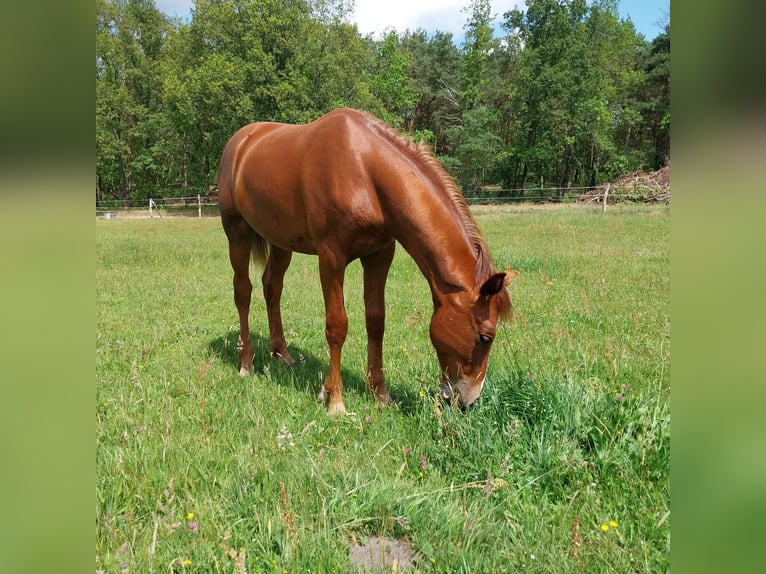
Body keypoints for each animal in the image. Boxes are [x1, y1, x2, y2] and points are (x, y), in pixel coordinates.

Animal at [218, 108, 518, 415]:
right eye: (485, 337)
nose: (467, 402)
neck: (365, 170)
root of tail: (241, 141)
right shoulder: (331, 257)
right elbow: (337, 325)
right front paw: (334, 399)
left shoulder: (379, 255)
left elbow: (376, 321)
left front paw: (381, 394)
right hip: (236, 232)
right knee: (243, 291)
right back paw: (246, 363)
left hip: (281, 243)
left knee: (272, 287)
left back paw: (282, 354)